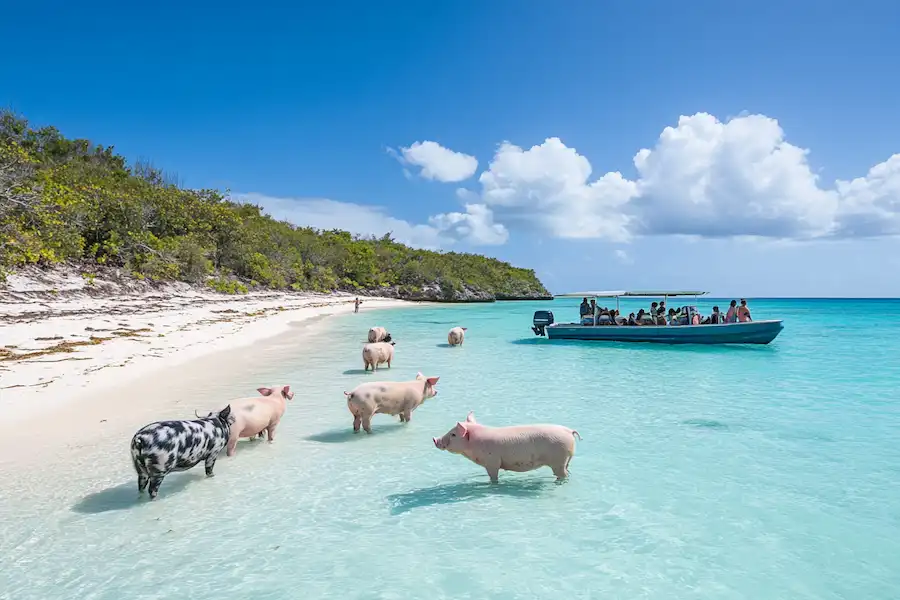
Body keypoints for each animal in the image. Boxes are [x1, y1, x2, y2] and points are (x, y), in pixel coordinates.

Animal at [432, 411, 581, 483]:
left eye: (453, 434)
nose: (435, 439)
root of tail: (569, 431)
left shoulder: (492, 461)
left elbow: (493, 477)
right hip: (566, 459)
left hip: (559, 460)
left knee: (562, 474)